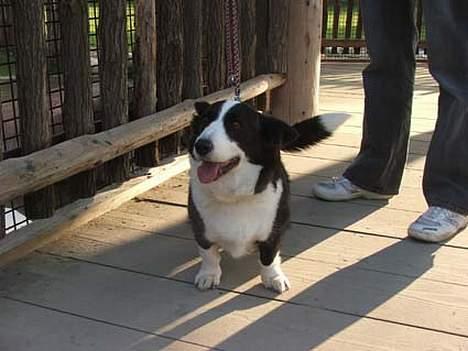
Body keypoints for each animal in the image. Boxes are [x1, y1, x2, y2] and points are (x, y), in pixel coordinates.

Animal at [187, 101, 348, 294]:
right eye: (205, 120)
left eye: (236, 125)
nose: (201, 145)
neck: (235, 197)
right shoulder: (201, 230)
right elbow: (209, 254)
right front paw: (209, 275)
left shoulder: (273, 232)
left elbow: (269, 257)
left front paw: (273, 277)